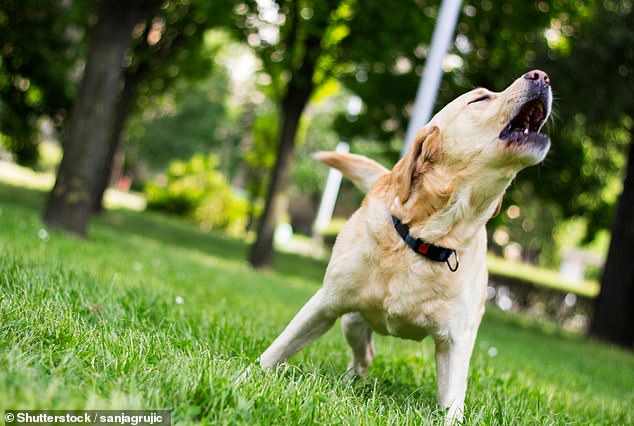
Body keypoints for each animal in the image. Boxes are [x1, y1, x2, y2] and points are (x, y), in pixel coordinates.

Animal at [260, 70, 552, 422]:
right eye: (480, 98)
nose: (542, 75)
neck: (426, 240)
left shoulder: (456, 343)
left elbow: (453, 404)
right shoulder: (325, 303)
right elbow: (277, 349)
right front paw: (250, 375)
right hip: (351, 321)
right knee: (363, 353)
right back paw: (351, 380)